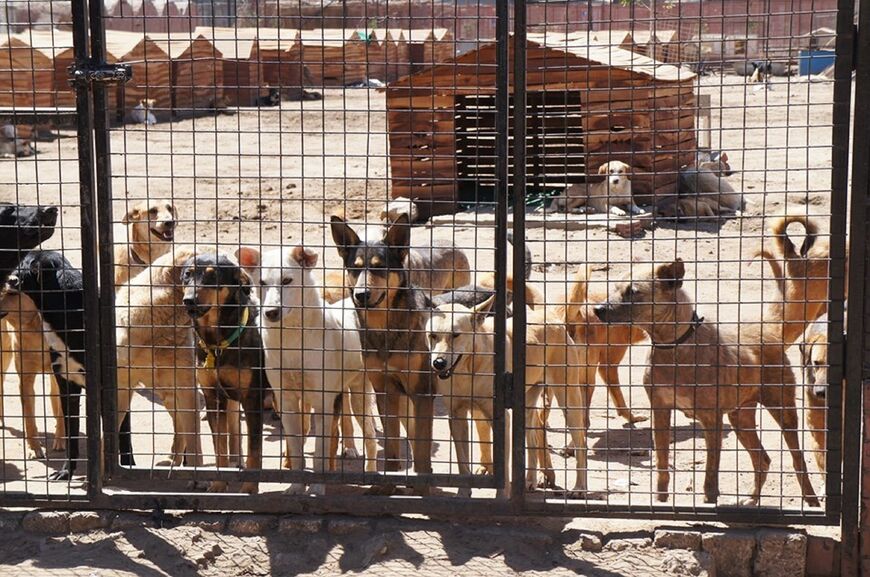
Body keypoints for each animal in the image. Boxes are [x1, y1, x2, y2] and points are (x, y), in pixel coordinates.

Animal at [10, 250, 134, 480]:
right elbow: (71, 435)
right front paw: (67, 471)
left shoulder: (102, 390)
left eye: (25, 262)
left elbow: (106, 435)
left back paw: (128, 463)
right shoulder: (67, 386)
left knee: (124, 430)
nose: (9, 278)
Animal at [116, 246, 203, 468]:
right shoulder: (122, 383)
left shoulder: (186, 386)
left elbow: (193, 437)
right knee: (178, 426)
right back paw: (174, 459)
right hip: (166, 393)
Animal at [181, 254, 270, 492]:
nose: (188, 300)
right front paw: (219, 484)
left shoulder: (252, 400)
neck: (218, 342)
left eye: (213, 277)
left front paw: (249, 488)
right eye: (187, 275)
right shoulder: (214, 398)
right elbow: (219, 446)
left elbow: (255, 451)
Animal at [596, 258, 820, 506]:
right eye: (615, 288)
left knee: (798, 460)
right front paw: (661, 501)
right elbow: (662, 465)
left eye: (633, 292)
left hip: (782, 410)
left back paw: (811, 501)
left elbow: (711, 473)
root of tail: (768, 327)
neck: (674, 347)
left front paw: (709, 501)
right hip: (740, 417)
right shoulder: (660, 411)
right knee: (762, 459)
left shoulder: (711, 419)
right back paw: (751, 501)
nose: (598, 310)